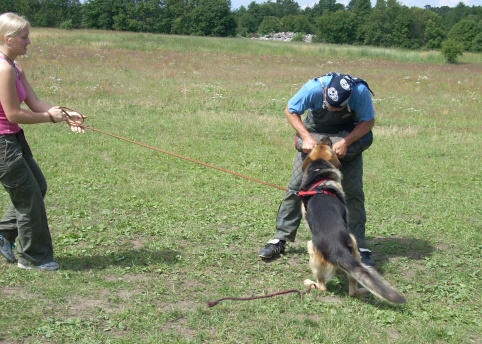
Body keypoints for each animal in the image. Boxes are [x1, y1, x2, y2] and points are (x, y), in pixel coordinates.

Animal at [302, 137, 406, 304]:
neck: (319, 172)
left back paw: (310, 283)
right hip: (355, 250)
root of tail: (337, 248)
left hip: (312, 249)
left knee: (322, 287)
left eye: (326, 144)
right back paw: (363, 290)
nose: (326, 137)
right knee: (353, 290)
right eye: (319, 143)